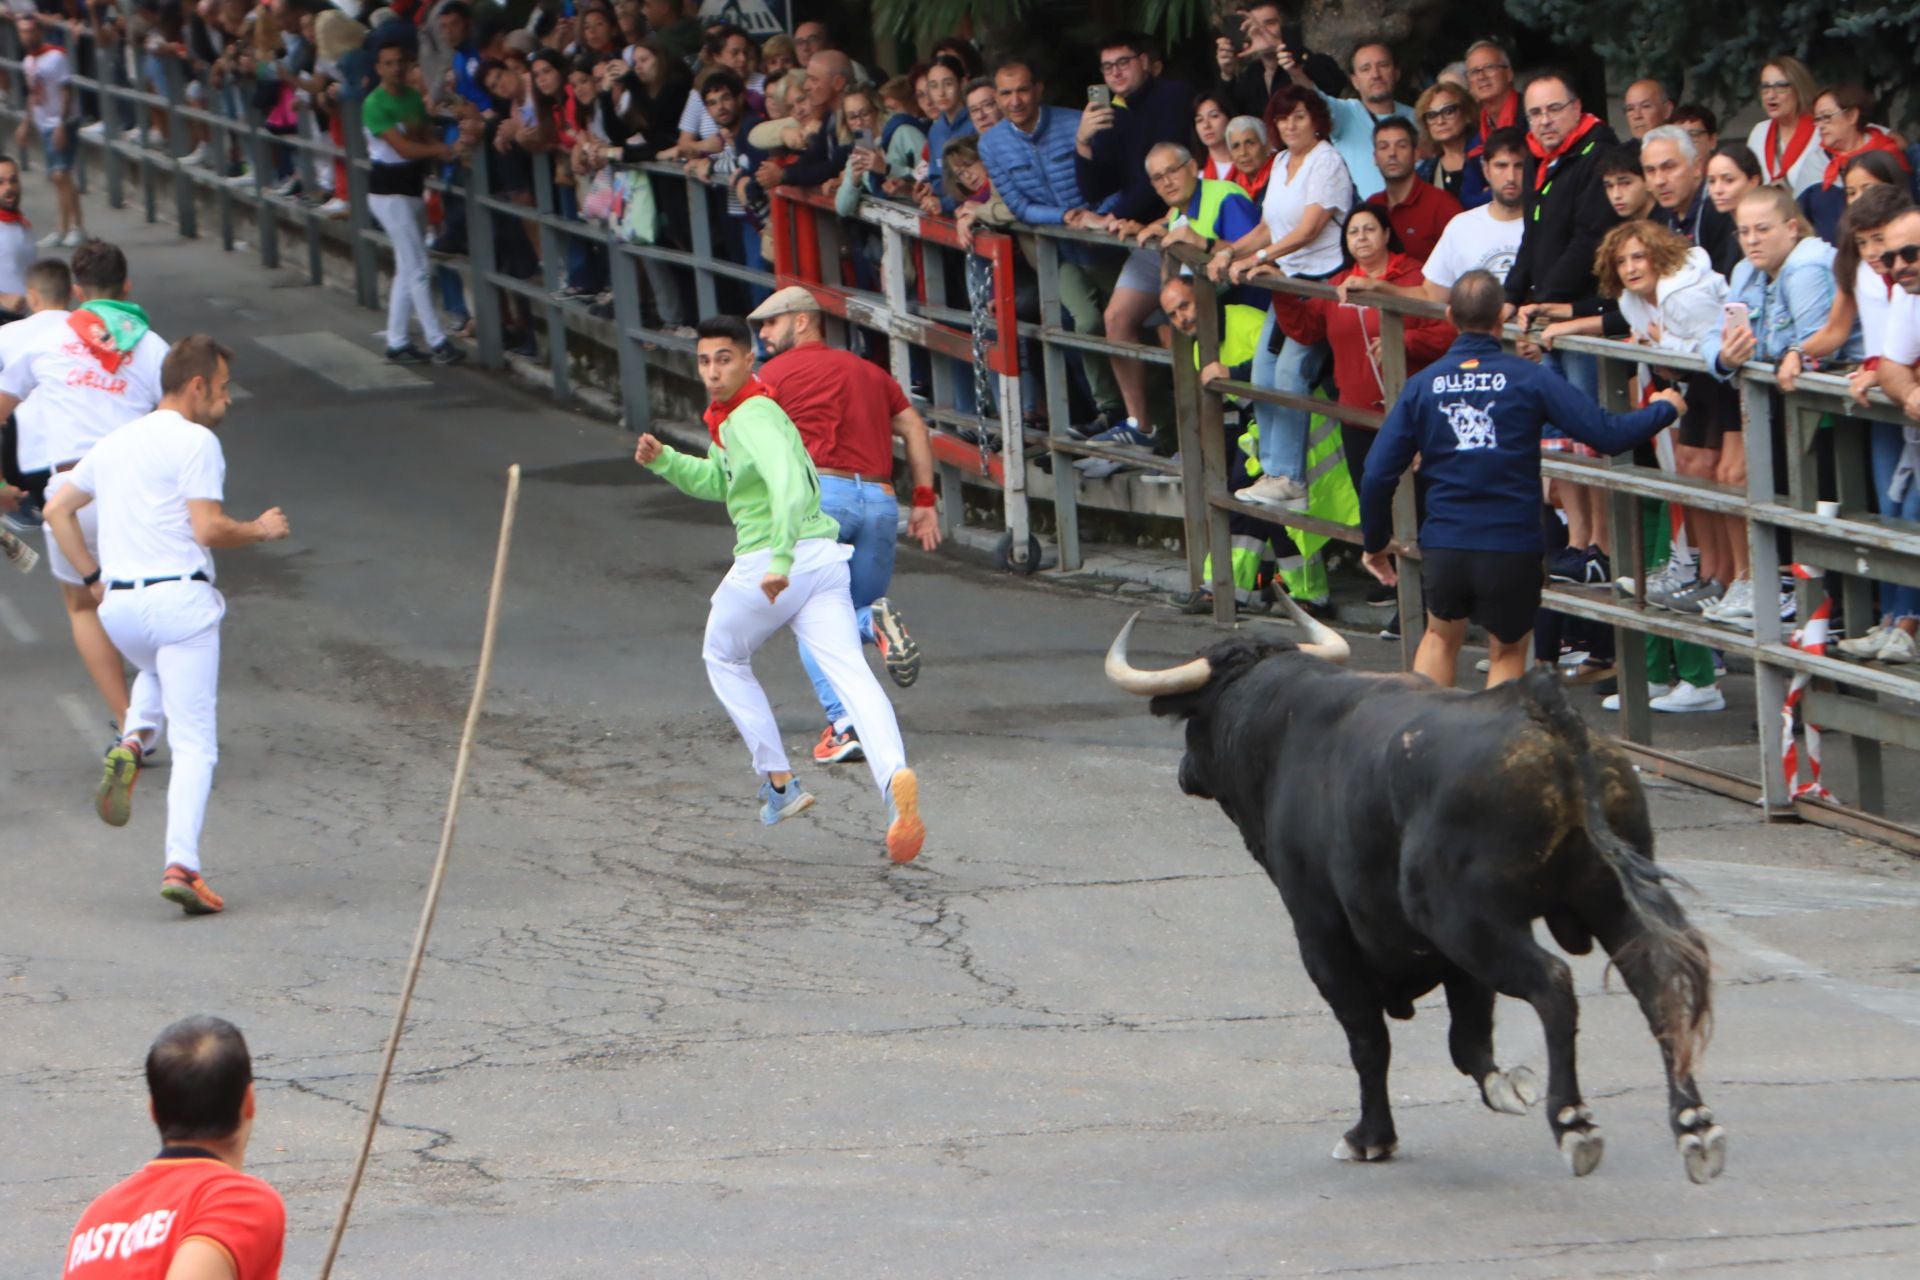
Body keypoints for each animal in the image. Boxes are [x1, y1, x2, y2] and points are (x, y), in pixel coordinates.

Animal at [1113, 610, 1728, 1182]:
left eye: (1194, 716)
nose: (1184, 771)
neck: (1284, 726)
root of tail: (1544, 709)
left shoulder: (1322, 935)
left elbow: (1369, 1040)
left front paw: (1371, 1137)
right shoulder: (1453, 963)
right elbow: (1467, 1039)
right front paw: (1505, 1085)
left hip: (1467, 921)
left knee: (1553, 985)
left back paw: (1573, 1121)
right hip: (1604, 900)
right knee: (1656, 980)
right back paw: (1694, 1125)